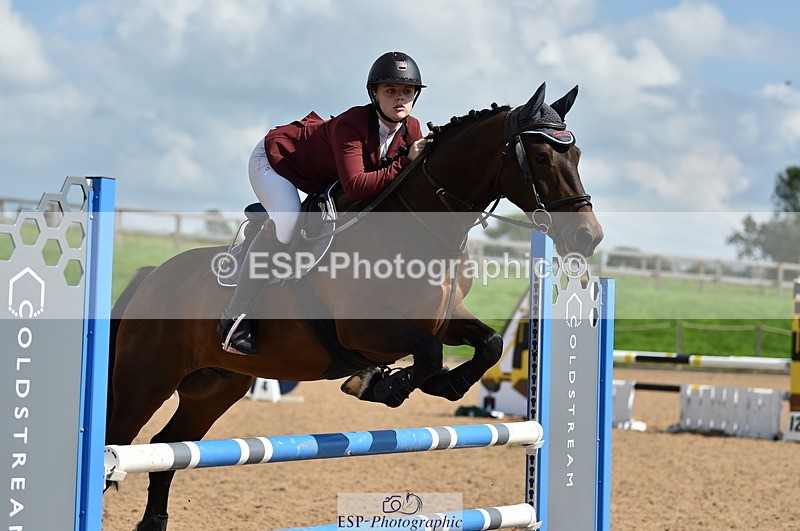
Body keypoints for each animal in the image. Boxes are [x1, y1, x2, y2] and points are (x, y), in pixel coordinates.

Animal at [105, 82, 603, 531]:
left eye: (577, 156)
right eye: (541, 157)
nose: (588, 238)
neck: (423, 230)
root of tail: (153, 276)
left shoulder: (444, 319)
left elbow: (490, 344)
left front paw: (438, 384)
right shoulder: (362, 328)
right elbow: (427, 354)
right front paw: (387, 384)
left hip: (214, 387)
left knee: (168, 447)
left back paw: (153, 522)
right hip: (146, 377)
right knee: (117, 438)